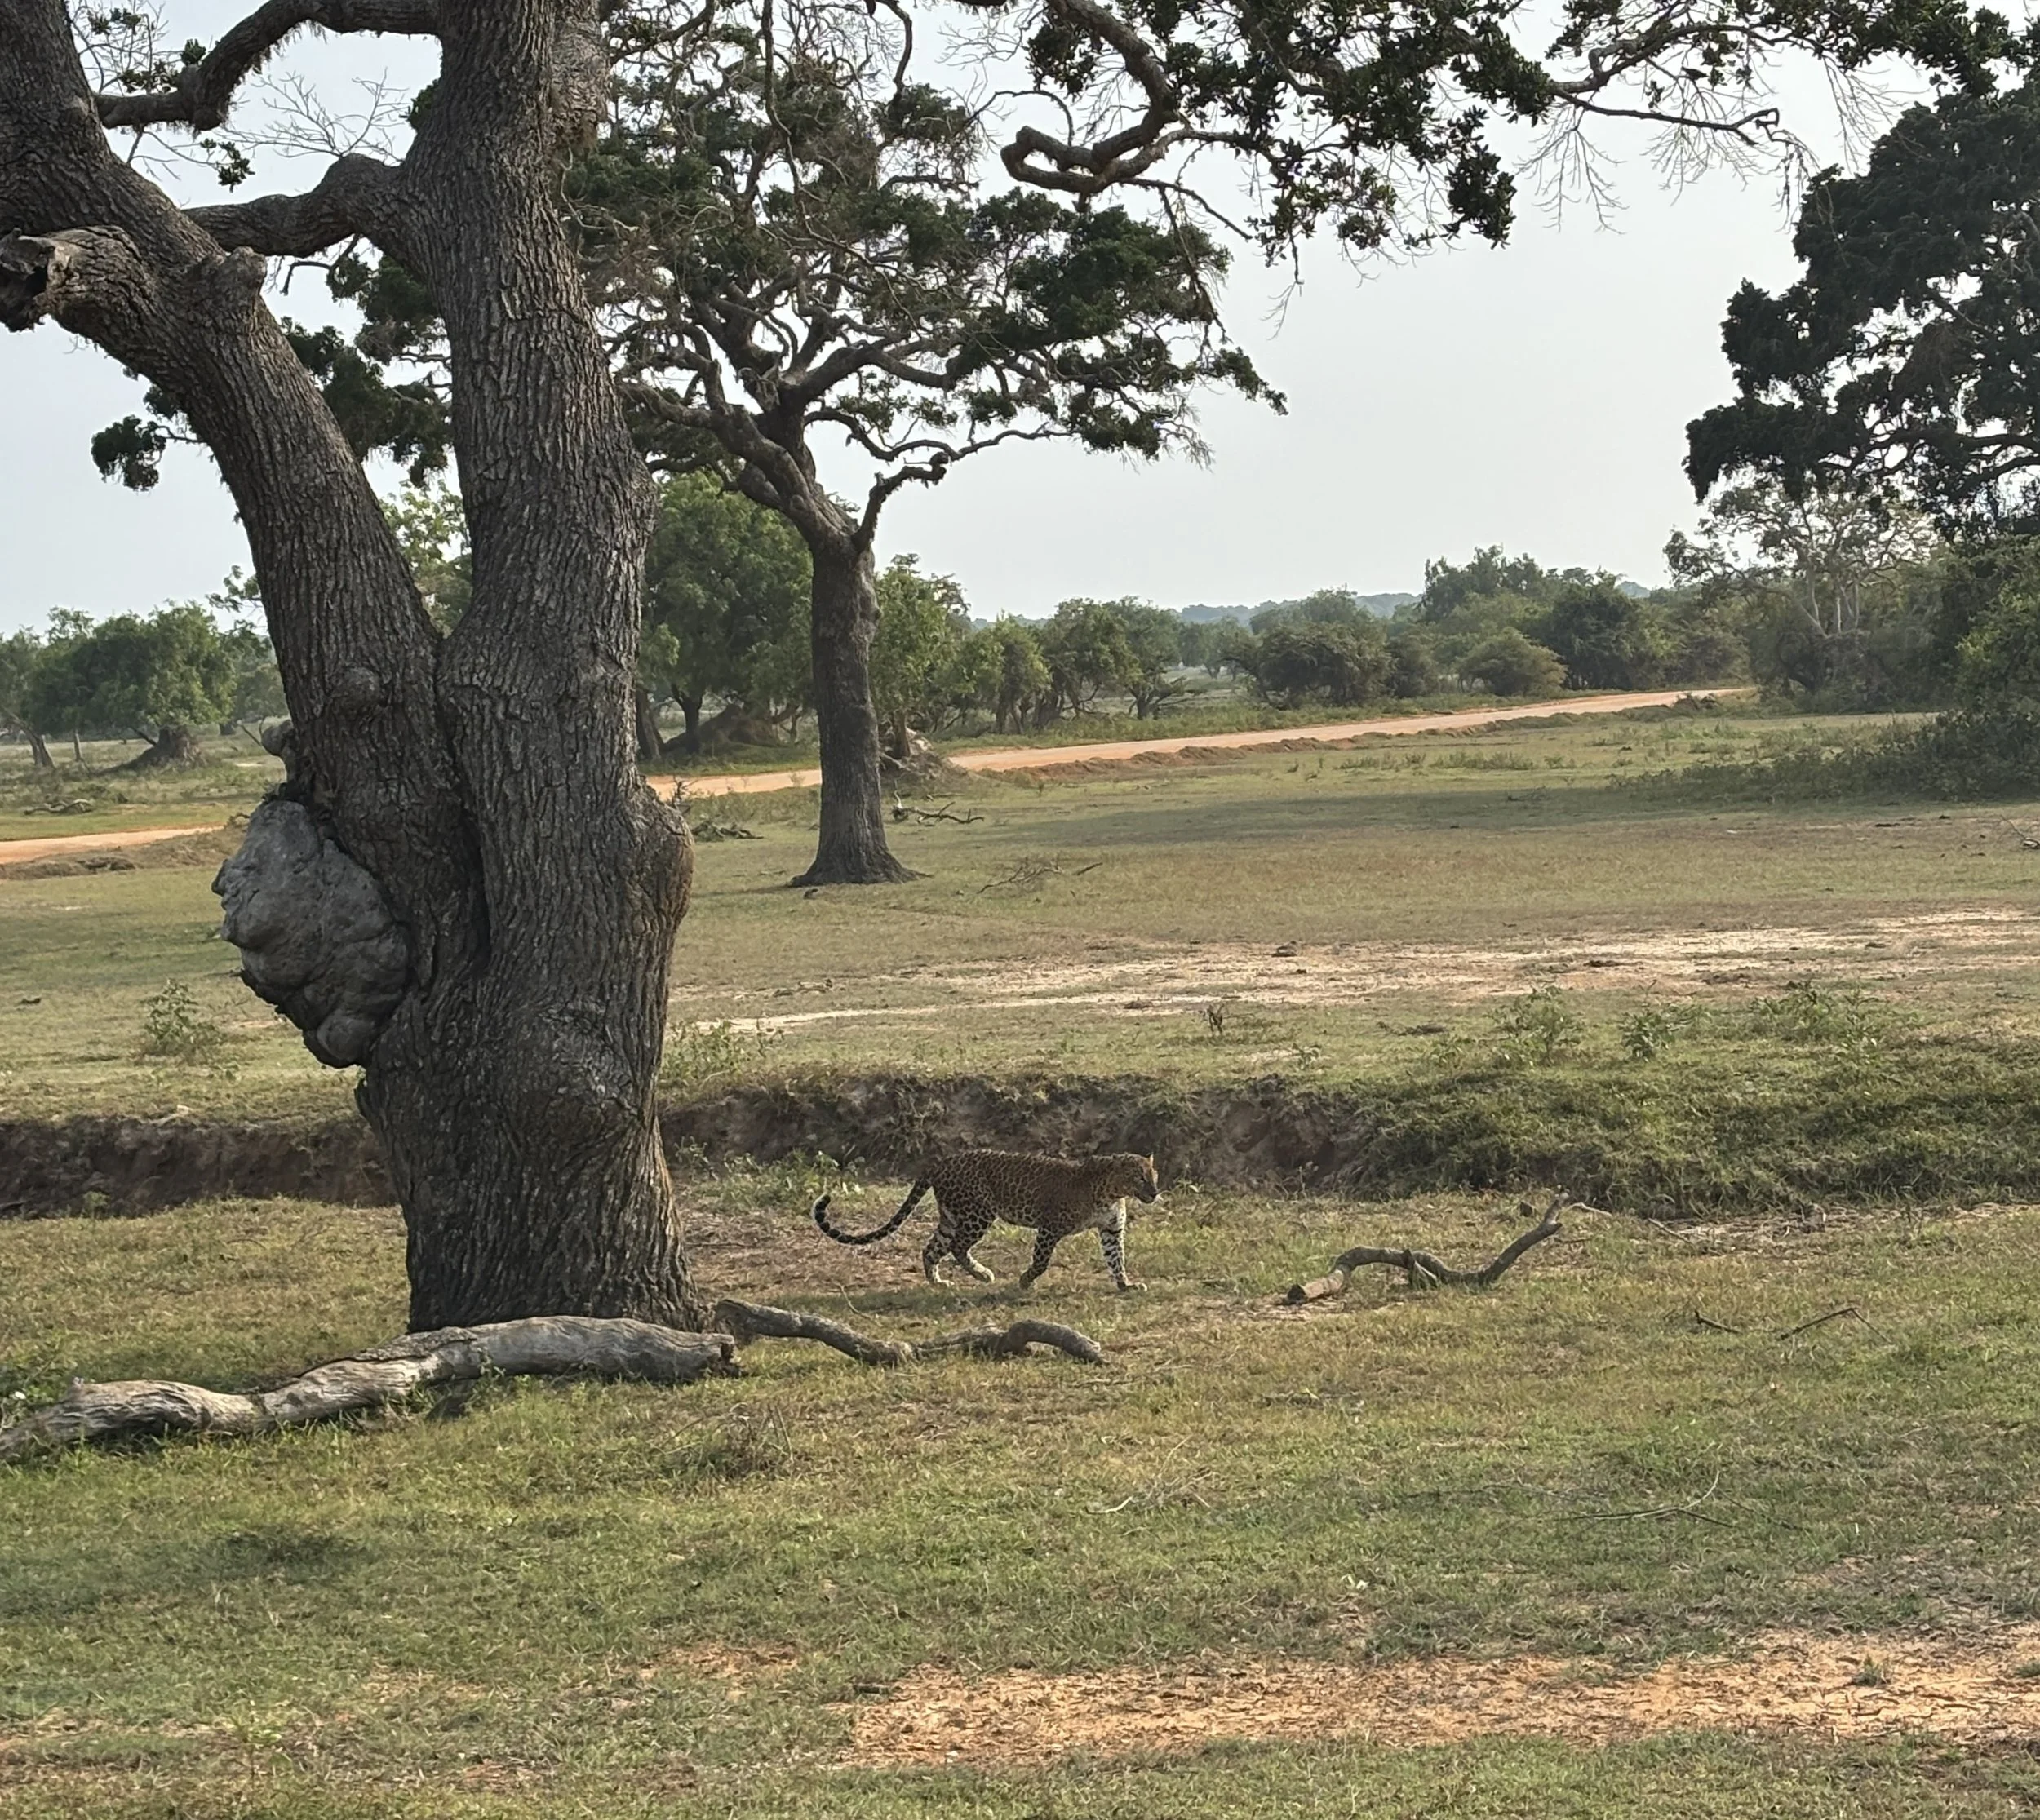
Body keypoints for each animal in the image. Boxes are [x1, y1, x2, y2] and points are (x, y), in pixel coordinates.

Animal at [812, 1149, 1160, 1291]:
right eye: (1139, 1177)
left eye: (1153, 1175)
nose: (1155, 1192)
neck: (1111, 1191)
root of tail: (940, 1163)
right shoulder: (1049, 1227)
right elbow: (1042, 1261)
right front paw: (1025, 1281)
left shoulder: (1111, 1230)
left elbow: (1116, 1259)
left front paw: (1126, 1285)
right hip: (978, 1213)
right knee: (957, 1248)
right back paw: (982, 1274)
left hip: (952, 1216)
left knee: (932, 1249)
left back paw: (938, 1282)